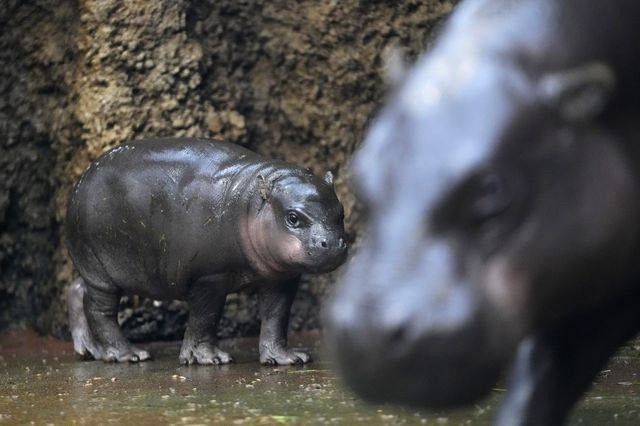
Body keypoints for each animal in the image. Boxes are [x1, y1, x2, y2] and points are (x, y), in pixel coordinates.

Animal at [65, 138, 348, 364]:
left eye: (341, 212)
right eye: (292, 217)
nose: (333, 243)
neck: (250, 203)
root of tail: (81, 181)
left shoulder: (281, 277)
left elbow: (276, 317)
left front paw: (287, 358)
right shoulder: (209, 276)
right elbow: (206, 317)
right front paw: (209, 358)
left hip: (99, 267)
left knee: (77, 290)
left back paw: (89, 351)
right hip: (101, 268)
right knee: (100, 311)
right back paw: (129, 355)